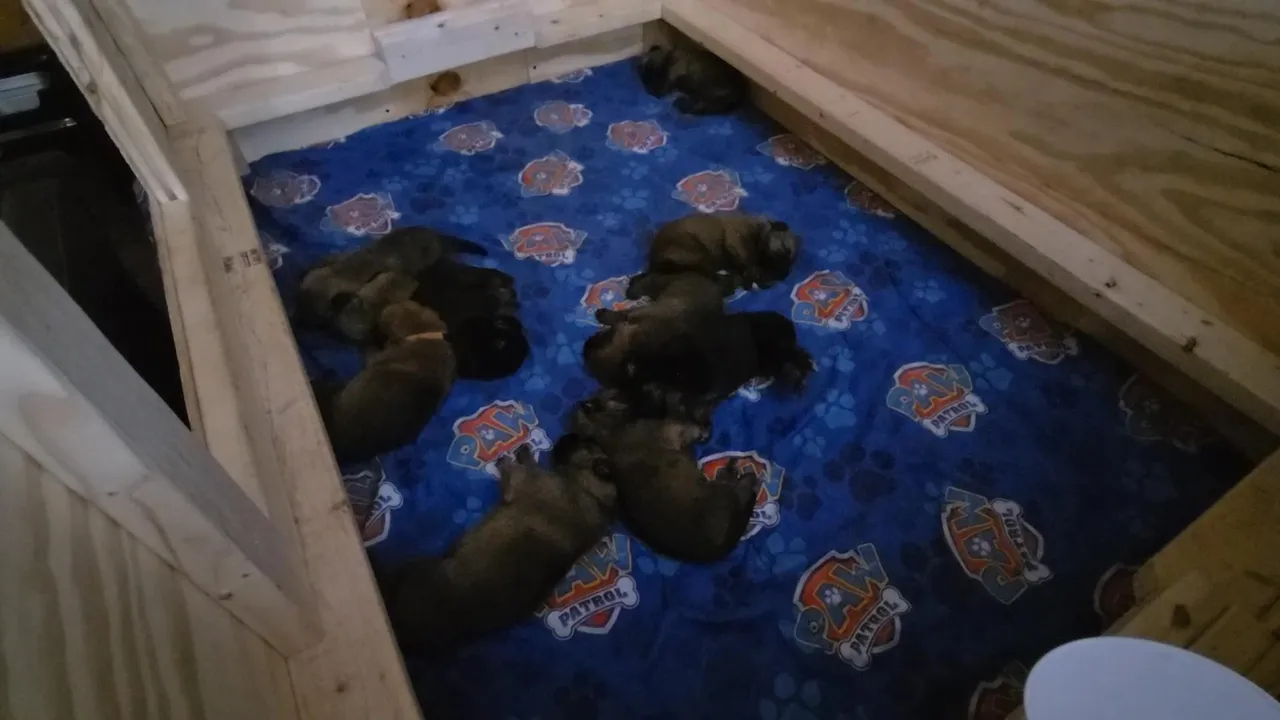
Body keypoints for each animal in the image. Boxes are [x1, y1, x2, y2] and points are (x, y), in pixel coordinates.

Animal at [378, 436, 617, 652]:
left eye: (587, 445)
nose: (567, 436)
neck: (594, 495)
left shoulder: (527, 482)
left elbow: (524, 470)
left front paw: (517, 458)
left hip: (413, 568)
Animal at [569, 390, 758, 563]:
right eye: (611, 394)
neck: (605, 429)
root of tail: (721, 547)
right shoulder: (671, 430)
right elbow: (689, 427)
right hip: (722, 493)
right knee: (737, 486)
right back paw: (733, 472)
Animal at [629, 212, 800, 295]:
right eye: (786, 249)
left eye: (792, 261)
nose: (784, 275)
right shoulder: (738, 243)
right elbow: (748, 262)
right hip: (697, 250)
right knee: (703, 272)